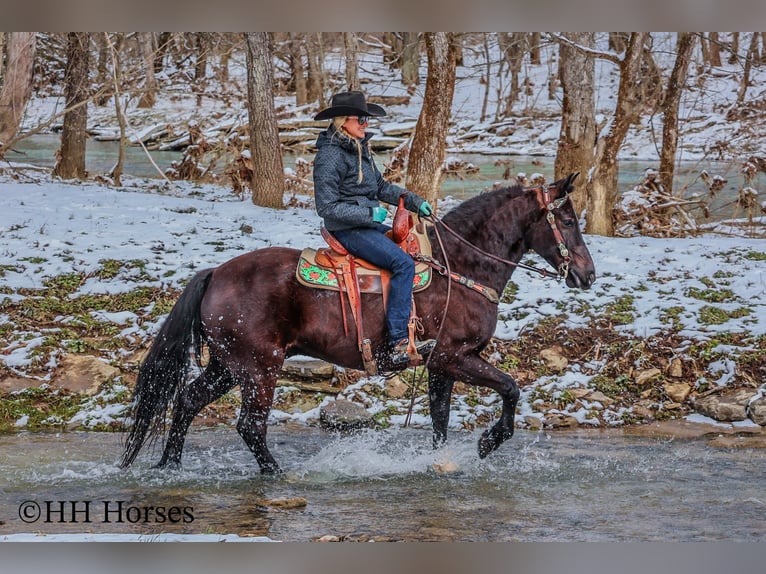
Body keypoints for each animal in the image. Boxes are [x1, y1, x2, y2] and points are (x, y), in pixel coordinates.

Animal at [119, 173, 596, 474]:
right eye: (568, 220)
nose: (587, 275)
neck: (460, 267)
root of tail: (216, 273)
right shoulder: (455, 357)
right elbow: (511, 389)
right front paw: (487, 442)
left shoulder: (441, 365)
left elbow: (440, 420)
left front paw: (440, 461)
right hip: (258, 369)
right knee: (250, 426)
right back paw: (276, 474)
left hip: (226, 366)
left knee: (186, 402)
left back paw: (169, 466)